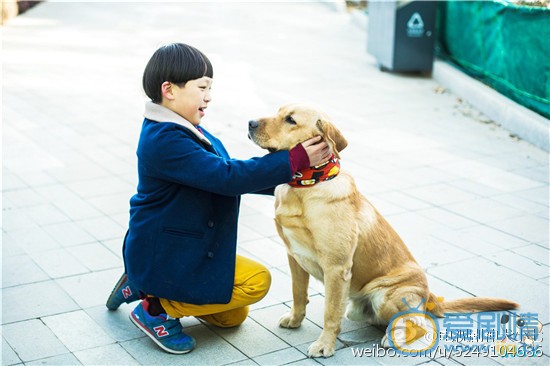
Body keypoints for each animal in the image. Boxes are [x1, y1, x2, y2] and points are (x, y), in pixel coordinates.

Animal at [248, 103, 520, 358]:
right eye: (278, 111)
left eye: (290, 120)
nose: (250, 122)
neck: (308, 183)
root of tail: (430, 296)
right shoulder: (294, 256)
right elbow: (298, 293)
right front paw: (295, 319)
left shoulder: (336, 268)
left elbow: (330, 313)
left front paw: (325, 345)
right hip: (357, 307)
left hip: (384, 296)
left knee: (420, 322)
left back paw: (393, 337)